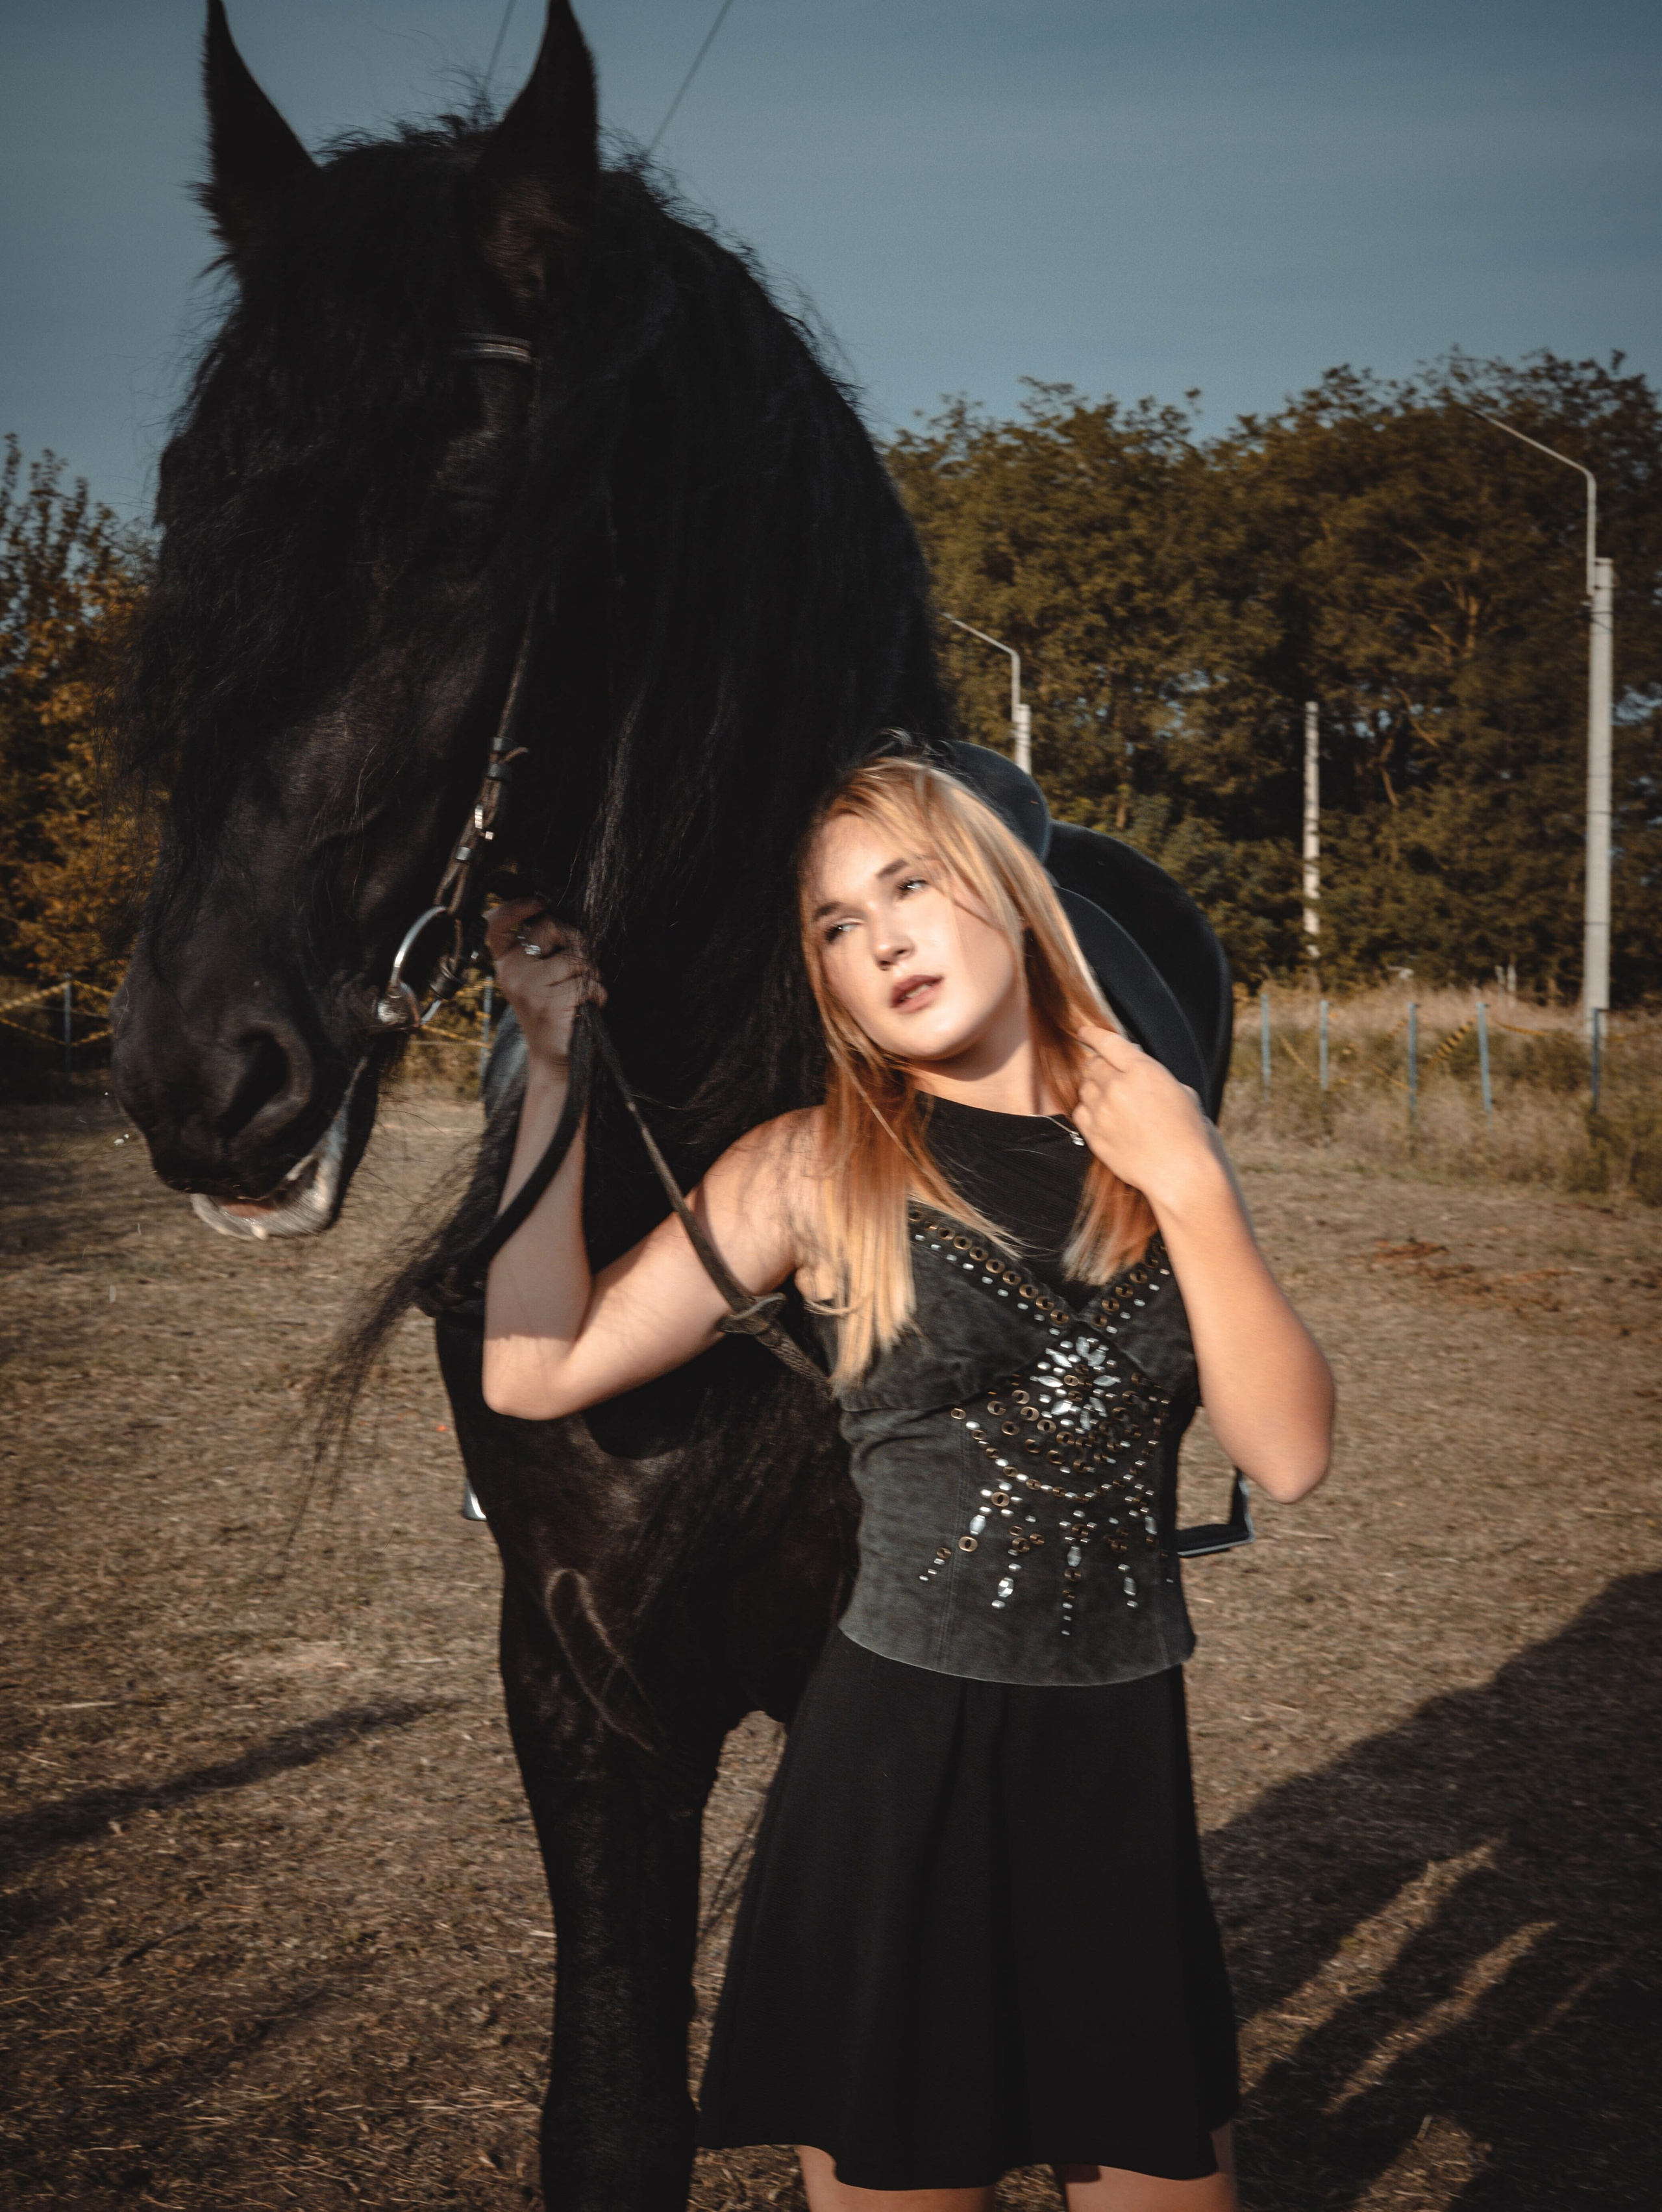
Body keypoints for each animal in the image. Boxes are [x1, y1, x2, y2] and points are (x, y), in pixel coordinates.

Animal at [110, 7, 1236, 2207]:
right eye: (197, 493)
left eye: (471, 504)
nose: (207, 1073)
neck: (707, 1161)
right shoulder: (579, 1677)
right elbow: (617, 2114)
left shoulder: (849, 1671)